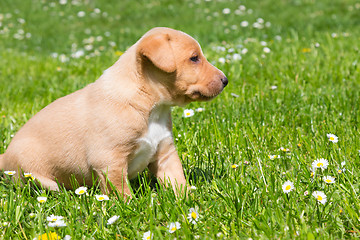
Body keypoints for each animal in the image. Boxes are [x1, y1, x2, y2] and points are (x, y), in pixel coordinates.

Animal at [0, 27, 226, 198]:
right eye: (194, 58)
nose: (225, 80)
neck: (151, 105)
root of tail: (4, 157)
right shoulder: (109, 159)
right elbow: (121, 190)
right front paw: (131, 208)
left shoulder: (165, 152)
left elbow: (177, 179)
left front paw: (188, 199)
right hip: (32, 172)